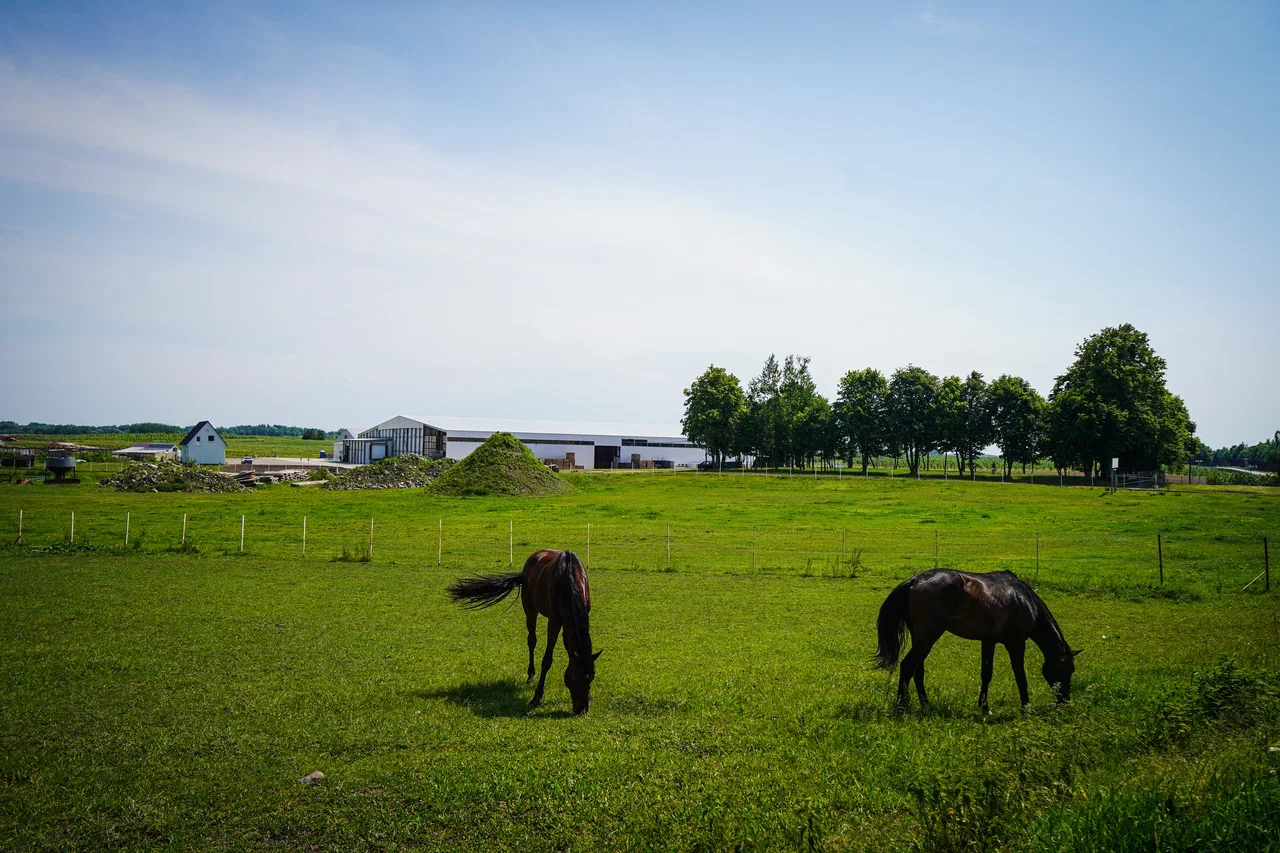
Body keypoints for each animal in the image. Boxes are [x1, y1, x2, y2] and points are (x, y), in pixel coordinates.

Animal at [445, 545, 599, 712]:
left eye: (591, 677)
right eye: (576, 677)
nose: (582, 709)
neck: (570, 578)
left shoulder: (569, 620)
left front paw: (590, 698)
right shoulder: (555, 620)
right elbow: (547, 659)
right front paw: (536, 697)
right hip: (530, 608)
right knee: (531, 640)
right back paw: (530, 675)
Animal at [870, 563, 1080, 712]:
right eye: (1068, 669)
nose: (1065, 700)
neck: (1025, 599)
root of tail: (914, 580)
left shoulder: (988, 641)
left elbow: (986, 673)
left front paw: (984, 707)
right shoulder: (1016, 643)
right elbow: (1020, 675)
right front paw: (1026, 708)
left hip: (920, 639)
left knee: (917, 670)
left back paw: (925, 705)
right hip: (928, 638)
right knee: (907, 666)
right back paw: (902, 706)